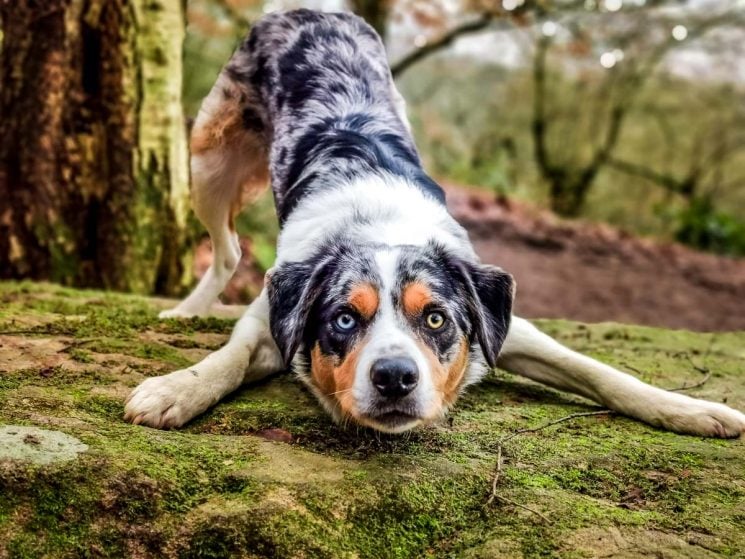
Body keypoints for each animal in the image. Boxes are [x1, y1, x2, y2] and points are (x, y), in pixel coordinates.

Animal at [120, 7, 740, 438]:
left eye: (437, 319)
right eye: (344, 319)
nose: (395, 377)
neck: (377, 226)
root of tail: (314, 10)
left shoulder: (505, 323)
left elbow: (598, 370)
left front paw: (691, 409)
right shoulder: (270, 314)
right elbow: (230, 357)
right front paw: (176, 390)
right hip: (206, 163)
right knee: (227, 248)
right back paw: (187, 310)